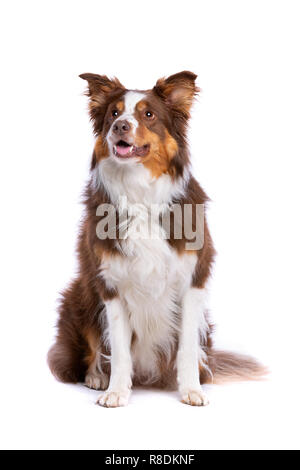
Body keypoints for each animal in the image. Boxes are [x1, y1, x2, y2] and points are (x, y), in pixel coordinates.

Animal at [48, 71, 266, 406]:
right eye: (114, 113)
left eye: (148, 115)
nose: (120, 126)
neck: (139, 192)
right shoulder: (110, 286)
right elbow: (119, 349)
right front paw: (117, 391)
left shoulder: (192, 281)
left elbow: (187, 346)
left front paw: (191, 390)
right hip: (79, 295)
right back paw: (97, 377)